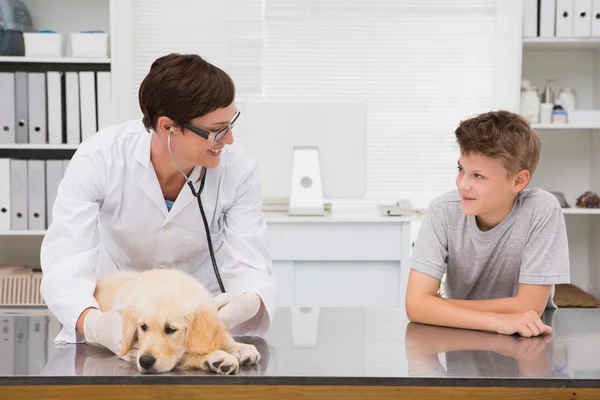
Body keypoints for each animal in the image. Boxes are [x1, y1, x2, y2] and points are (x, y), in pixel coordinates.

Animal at [94, 268, 260, 376]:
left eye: (170, 329)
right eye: (143, 327)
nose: (145, 361)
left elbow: (217, 334)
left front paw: (239, 347)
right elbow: (187, 354)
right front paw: (218, 357)